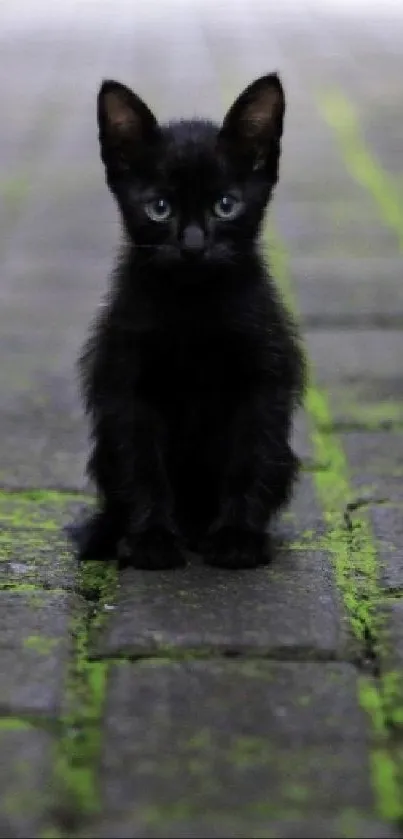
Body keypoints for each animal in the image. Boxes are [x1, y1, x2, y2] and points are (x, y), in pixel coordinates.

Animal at [76, 74, 306, 572]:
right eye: (159, 208)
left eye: (226, 205)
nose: (194, 245)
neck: (193, 306)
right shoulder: (127, 384)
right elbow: (142, 464)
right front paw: (152, 539)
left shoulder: (263, 378)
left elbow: (248, 458)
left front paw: (238, 537)